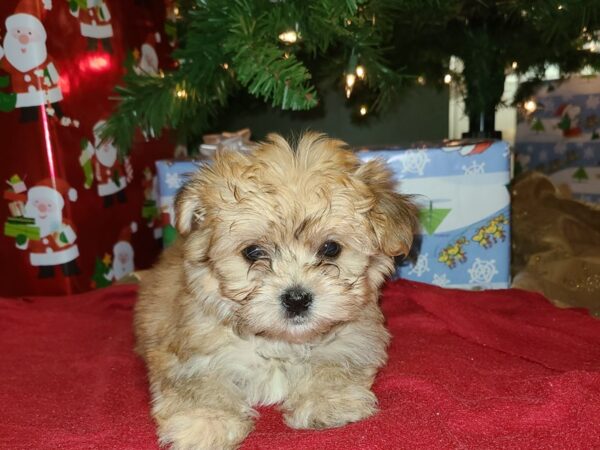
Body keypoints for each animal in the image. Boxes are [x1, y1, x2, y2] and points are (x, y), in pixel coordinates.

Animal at [135, 132, 418, 448]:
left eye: (331, 248)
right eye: (253, 252)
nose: (296, 299)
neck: (280, 341)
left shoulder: (354, 339)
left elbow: (334, 363)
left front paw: (328, 401)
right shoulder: (188, 352)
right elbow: (197, 383)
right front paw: (206, 421)